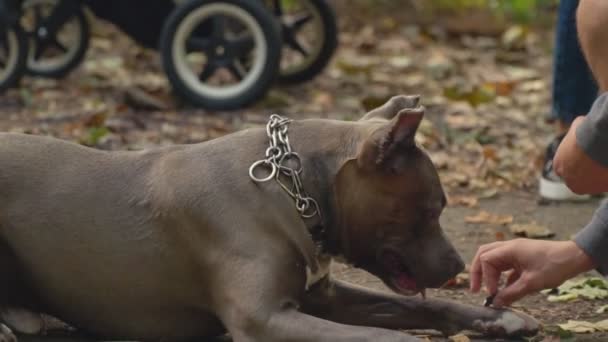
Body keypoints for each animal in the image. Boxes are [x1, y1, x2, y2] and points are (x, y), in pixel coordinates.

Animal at [1, 95, 536, 340]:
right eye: (433, 208)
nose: (459, 267)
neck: (297, 191)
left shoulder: (322, 296)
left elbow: (420, 307)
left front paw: (498, 318)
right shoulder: (264, 317)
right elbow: (380, 337)